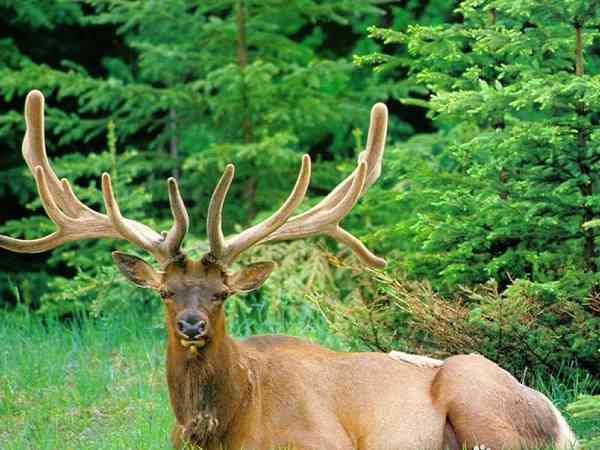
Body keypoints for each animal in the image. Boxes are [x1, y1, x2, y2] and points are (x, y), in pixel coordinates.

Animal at [2, 89, 580, 448]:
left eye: (222, 293)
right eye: (166, 292)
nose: (192, 325)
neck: (223, 426)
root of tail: (559, 418)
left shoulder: (325, 439)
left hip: (477, 399)